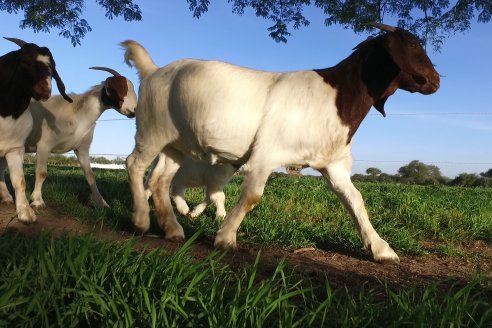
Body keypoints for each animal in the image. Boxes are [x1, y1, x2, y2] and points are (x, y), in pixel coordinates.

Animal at [0, 37, 72, 223]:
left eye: (51, 67)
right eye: (24, 61)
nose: (44, 89)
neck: (7, 113)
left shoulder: (15, 148)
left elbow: (19, 180)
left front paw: (25, 211)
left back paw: (6, 197)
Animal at [7, 68, 136, 209]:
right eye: (122, 88)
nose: (134, 111)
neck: (78, 114)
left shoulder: (82, 148)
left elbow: (90, 176)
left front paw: (102, 203)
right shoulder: (44, 145)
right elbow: (41, 173)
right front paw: (37, 201)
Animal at [121, 22, 440, 264]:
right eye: (413, 45)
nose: (436, 81)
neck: (336, 97)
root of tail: (152, 70)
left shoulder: (333, 163)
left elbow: (355, 200)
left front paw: (381, 249)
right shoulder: (266, 153)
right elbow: (252, 196)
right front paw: (225, 238)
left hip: (174, 143)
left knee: (160, 180)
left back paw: (173, 229)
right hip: (152, 130)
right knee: (134, 165)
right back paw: (141, 221)